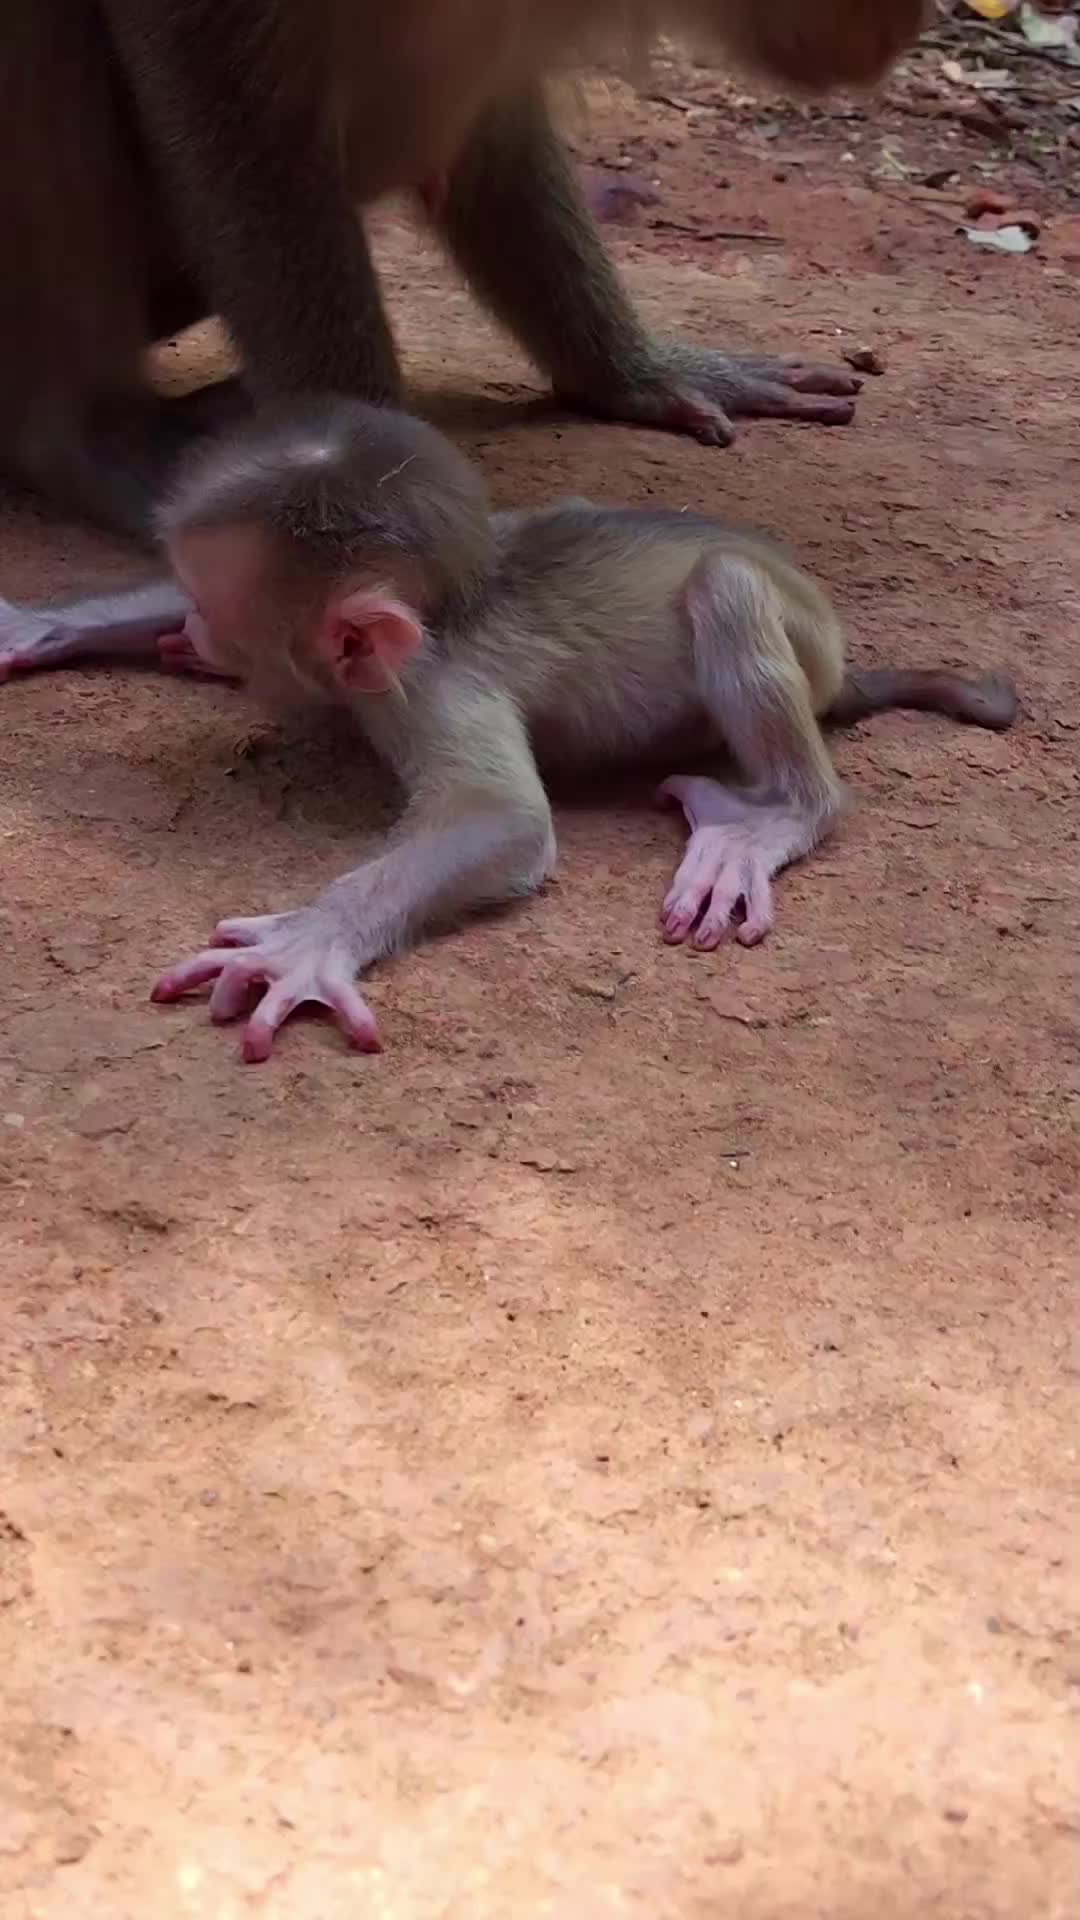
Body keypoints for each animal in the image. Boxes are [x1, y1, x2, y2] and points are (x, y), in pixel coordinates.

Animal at [0, 395, 1017, 1062]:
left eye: (222, 606)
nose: (200, 629)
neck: (449, 603)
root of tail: (841, 659)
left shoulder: (428, 685)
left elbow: (503, 820)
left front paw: (311, 940)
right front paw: (35, 627)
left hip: (798, 640)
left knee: (725, 588)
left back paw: (771, 818)